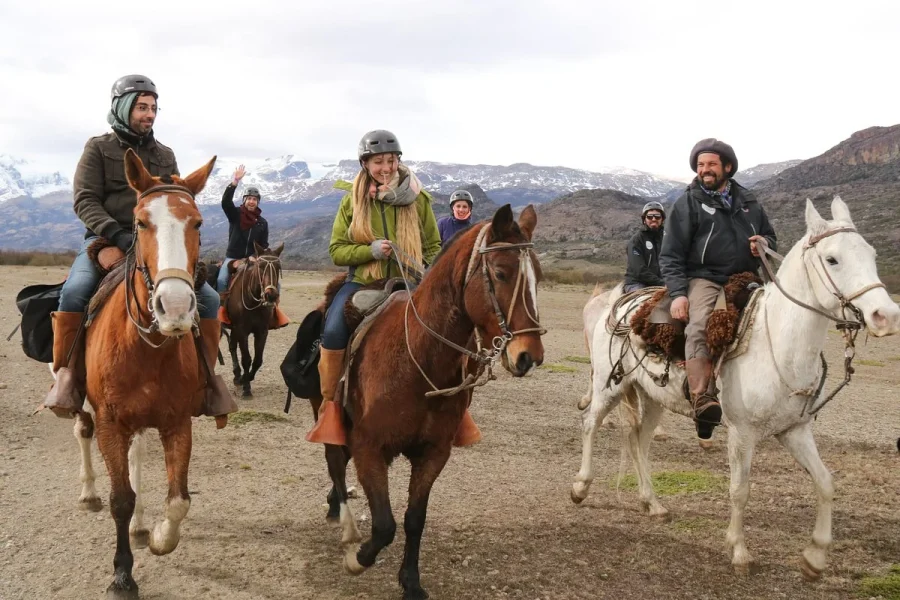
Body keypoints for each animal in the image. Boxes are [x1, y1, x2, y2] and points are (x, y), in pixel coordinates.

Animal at [221, 239, 284, 398]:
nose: (271, 296)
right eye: (260, 267)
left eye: (278, 267)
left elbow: (257, 360)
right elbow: (246, 359)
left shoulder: (261, 331)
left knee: (232, 346)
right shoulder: (242, 331)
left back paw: (238, 376)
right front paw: (246, 388)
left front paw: (246, 378)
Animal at [312, 204, 544, 596]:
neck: (418, 357)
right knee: (335, 462)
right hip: (329, 415)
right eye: (500, 272)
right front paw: (358, 560)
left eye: (538, 277)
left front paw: (410, 581)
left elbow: (413, 519)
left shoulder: (433, 453)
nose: (530, 355)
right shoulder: (368, 445)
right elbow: (384, 525)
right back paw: (346, 525)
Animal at [568, 199, 900, 580]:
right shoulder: (743, 433)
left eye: (872, 254)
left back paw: (652, 503)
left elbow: (825, 483)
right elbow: (740, 490)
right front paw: (739, 551)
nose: (886, 316)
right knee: (590, 424)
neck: (777, 343)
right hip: (609, 384)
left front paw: (815, 556)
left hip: (652, 399)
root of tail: (621, 302)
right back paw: (580, 486)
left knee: (639, 440)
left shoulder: (794, 430)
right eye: (832, 259)